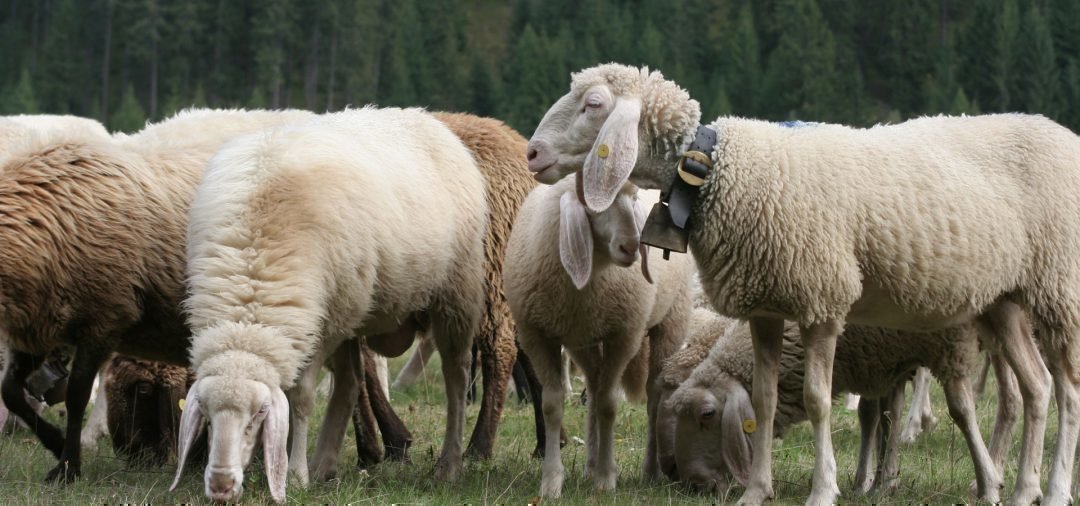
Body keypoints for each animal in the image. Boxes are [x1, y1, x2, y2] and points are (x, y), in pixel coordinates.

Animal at [0, 106, 315, 481]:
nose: (134, 453)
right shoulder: (38, 328)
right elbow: (10, 391)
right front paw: (53, 440)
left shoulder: (104, 318)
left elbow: (76, 396)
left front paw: (67, 466)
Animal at [172, 106, 490, 500]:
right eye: (206, 413)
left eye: (260, 413)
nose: (220, 485)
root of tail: (424, 117)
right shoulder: (325, 317)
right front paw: (293, 468)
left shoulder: (322, 326)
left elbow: (301, 397)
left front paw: (294, 474)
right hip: (352, 306)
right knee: (350, 383)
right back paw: (324, 463)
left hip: (454, 294)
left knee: (456, 376)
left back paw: (450, 465)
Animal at [503, 174, 691, 496]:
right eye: (596, 205)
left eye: (633, 200)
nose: (631, 247)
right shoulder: (537, 335)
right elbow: (552, 405)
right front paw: (552, 480)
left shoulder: (623, 335)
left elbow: (608, 404)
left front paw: (606, 477)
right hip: (583, 339)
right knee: (593, 384)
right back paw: (590, 465)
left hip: (670, 323)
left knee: (653, 397)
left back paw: (650, 470)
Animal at [660, 306, 1006, 498]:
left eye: (707, 413)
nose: (688, 482)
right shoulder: (881, 359)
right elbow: (880, 417)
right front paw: (877, 483)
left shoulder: (938, 343)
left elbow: (953, 410)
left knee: (1013, 399)